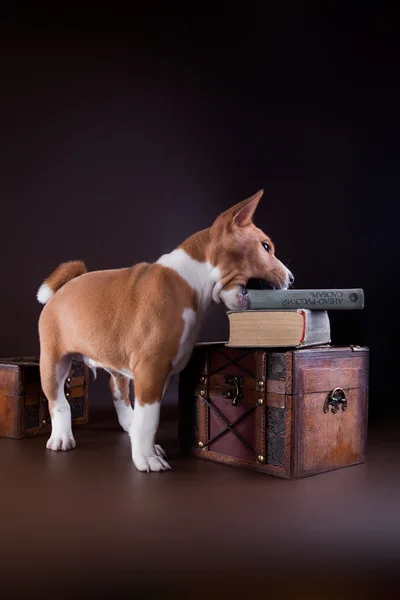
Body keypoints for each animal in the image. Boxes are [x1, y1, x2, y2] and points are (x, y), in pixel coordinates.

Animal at [36, 190, 294, 472]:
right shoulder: (151, 368)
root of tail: (66, 285)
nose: (292, 278)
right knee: (58, 402)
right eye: (265, 247)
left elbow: (149, 417)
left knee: (116, 385)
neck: (192, 281)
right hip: (53, 362)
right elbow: (149, 420)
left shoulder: (165, 371)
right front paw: (146, 458)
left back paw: (128, 424)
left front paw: (143, 444)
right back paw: (62, 437)